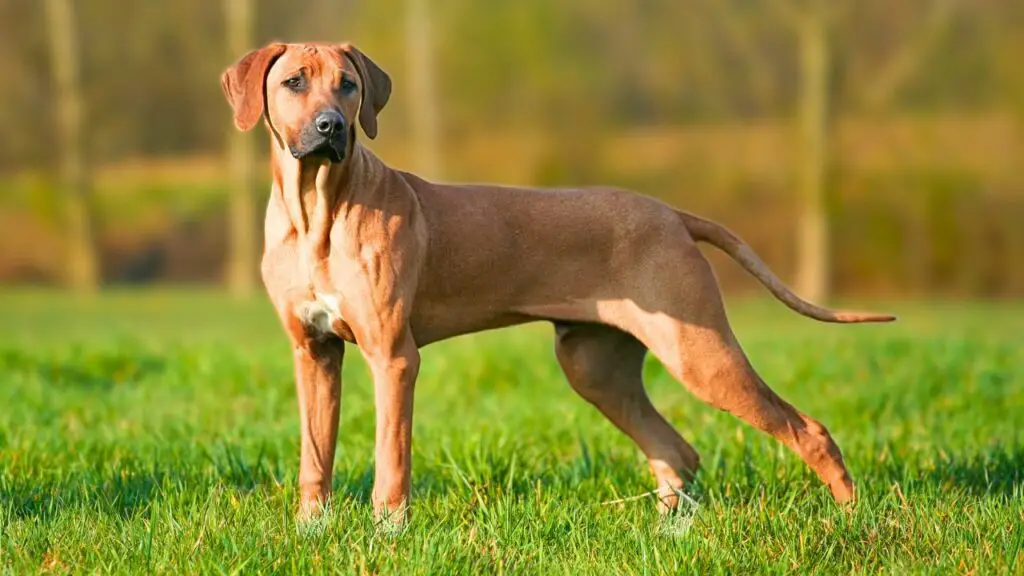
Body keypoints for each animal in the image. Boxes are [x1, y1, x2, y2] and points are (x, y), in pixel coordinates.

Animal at [220, 40, 892, 524]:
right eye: (294, 82)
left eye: (349, 84)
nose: (332, 126)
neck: (318, 210)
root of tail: (673, 214)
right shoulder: (314, 352)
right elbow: (315, 455)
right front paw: (312, 528)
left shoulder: (393, 356)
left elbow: (392, 457)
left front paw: (389, 532)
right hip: (595, 365)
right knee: (677, 451)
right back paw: (668, 532)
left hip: (698, 352)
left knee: (808, 430)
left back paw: (853, 518)